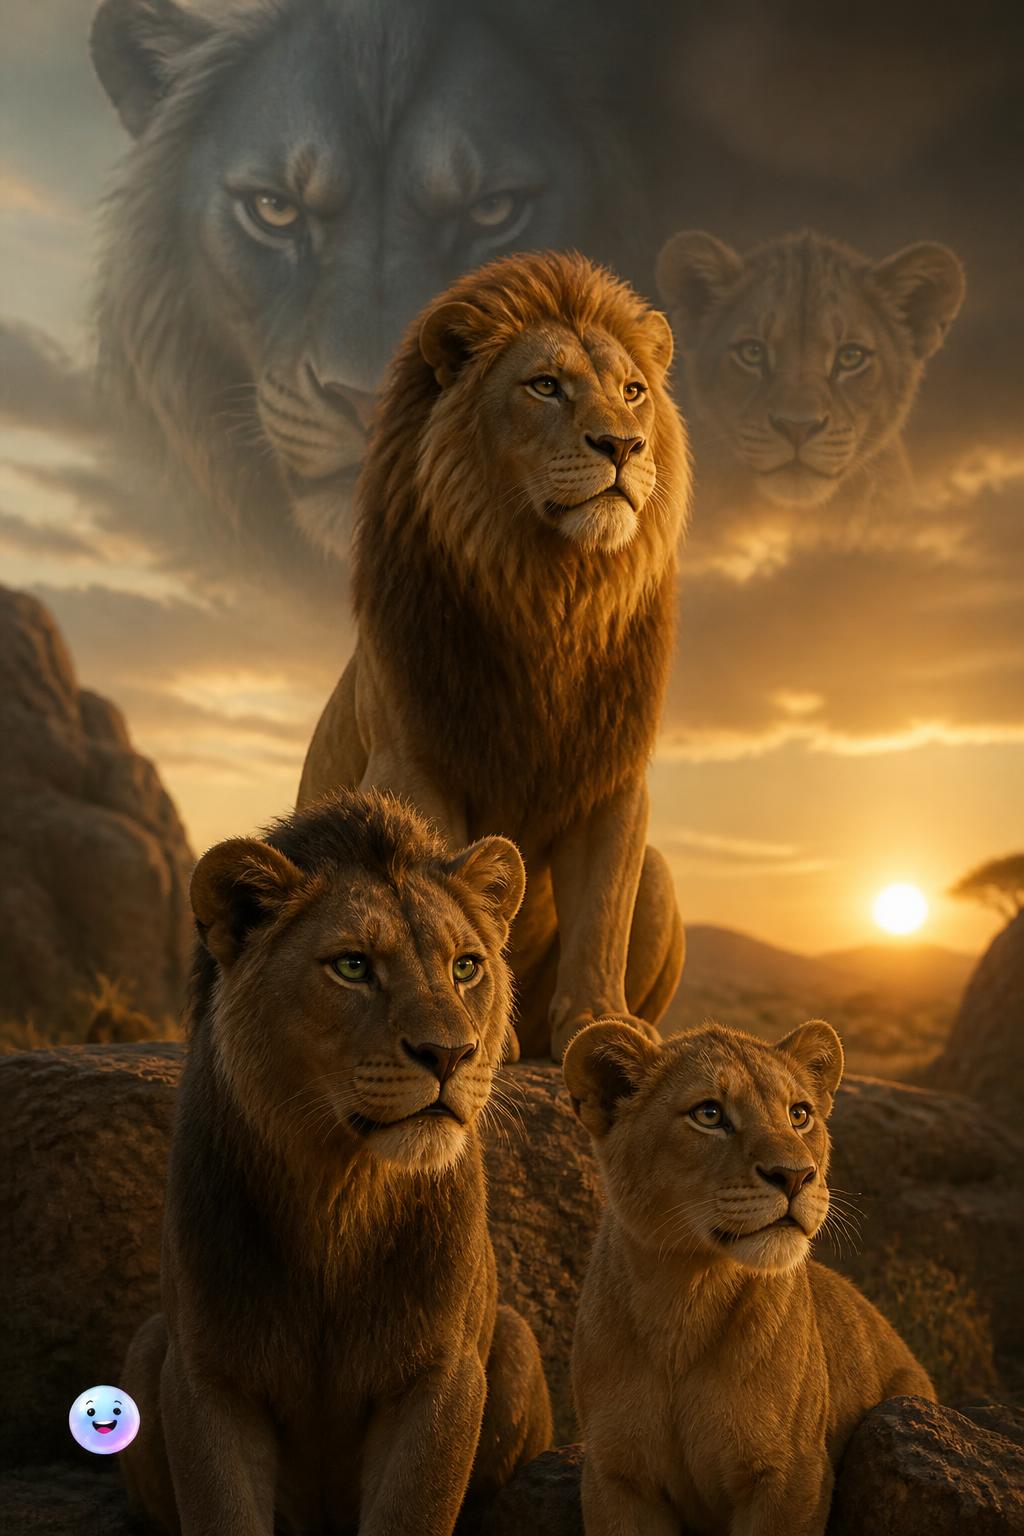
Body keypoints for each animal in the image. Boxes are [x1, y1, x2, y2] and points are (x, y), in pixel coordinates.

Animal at [120, 788, 552, 1535]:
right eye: (352, 967)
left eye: (466, 967)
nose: (450, 1055)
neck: (339, 1191)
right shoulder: (206, 1378)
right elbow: (220, 1508)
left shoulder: (442, 1377)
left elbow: (413, 1510)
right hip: (147, 1345)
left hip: (518, 1341)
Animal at [298, 250, 691, 1060]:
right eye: (544, 385)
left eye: (633, 392)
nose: (624, 446)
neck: (550, 595)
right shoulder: (413, 763)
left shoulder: (614, 781)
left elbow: (601, 913)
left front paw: (600, 1022)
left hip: (663, 878)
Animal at [563, 1016, 935, 1536]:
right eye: (709, 1114)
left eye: (799, 1114)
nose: (796, 1175)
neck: (685, 1298)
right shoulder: (617, 1478)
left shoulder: (791, 1475)